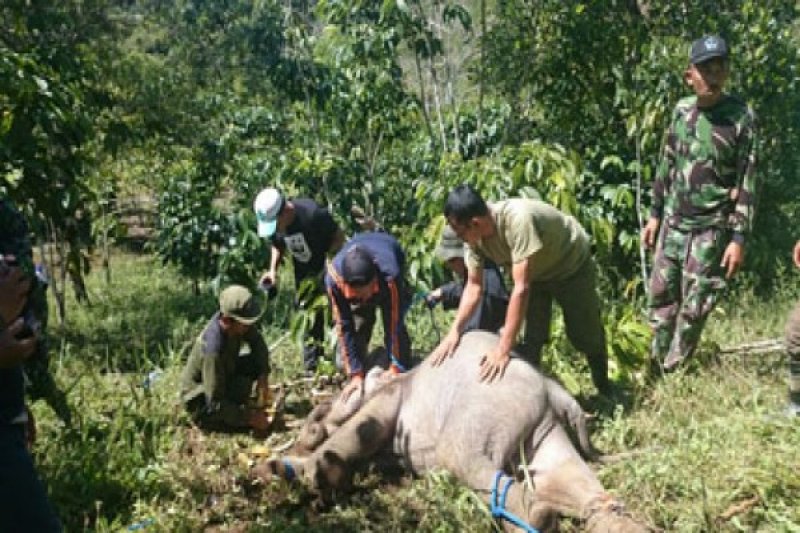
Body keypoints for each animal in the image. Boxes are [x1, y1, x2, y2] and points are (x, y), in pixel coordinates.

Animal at [255, 330, 644, 528]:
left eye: (328, 404)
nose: (308, 428)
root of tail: (554, 390)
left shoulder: (395, 394)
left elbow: (364, 427)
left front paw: (285, 470)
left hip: (487, 405)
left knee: (463, 458)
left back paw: (537, 517)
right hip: (545, 426)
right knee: (577, 485)